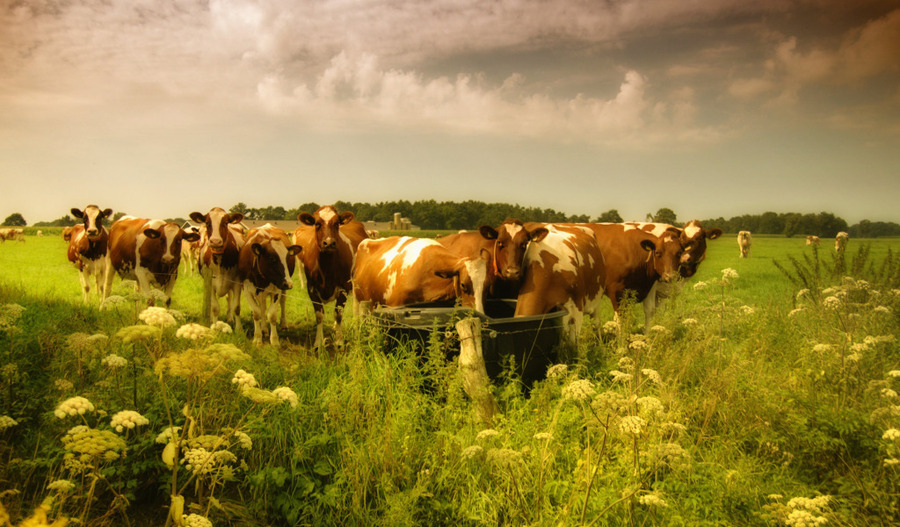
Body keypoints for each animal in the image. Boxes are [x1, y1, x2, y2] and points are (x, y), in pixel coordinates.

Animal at [292, 207, 370, 354]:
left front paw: (339, 343)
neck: (326, 268)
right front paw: (318, 343)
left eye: (337, 223)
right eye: (317, 223)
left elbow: (338, 314)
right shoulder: (312, 289)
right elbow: (319, 315)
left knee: (357, 305)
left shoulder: (343, 288)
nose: (329, 243)